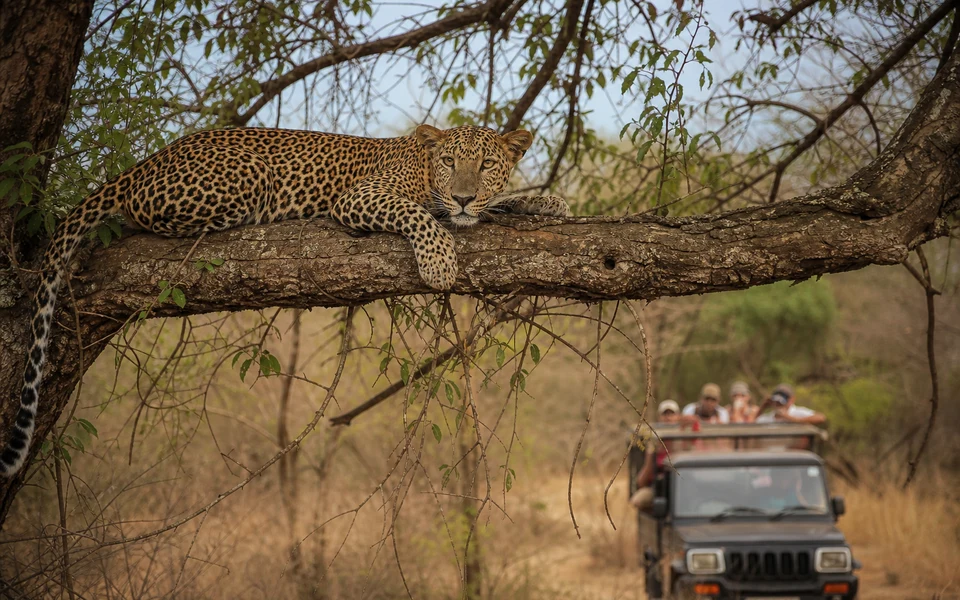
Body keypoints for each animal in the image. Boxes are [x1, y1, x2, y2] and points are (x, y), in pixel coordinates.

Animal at [0, 124, 571, 476]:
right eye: (450, 162)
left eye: (487, 164)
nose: (463, 196)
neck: (423, 167)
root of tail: (146, 162)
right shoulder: (363, 197)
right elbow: (420, 215)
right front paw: (438, 261)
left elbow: (501, 204)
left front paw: (546, 201)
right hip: (243, 178)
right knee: (147, 220)